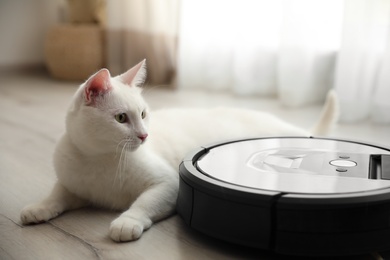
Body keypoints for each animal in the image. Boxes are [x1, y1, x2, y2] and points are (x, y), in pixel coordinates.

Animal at [20, 60, 338, 242]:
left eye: (144, 114)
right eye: (121, 118)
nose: (145, 135)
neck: (99, 158)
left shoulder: (169, 183)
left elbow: (143, 203)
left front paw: (127, 221)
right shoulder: (73, 184)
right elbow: (57, 195)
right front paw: (38, 207)